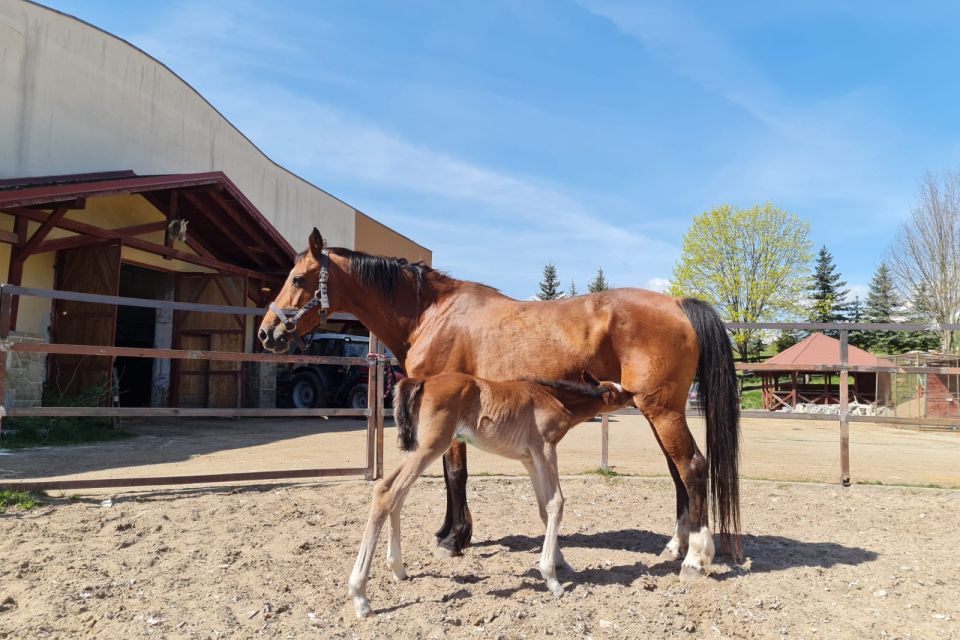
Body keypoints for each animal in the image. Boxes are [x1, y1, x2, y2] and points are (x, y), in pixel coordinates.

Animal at [348, 372, 632, 616]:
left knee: (395, 493)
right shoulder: (546, 448)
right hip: (432, 445)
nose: (632, 393)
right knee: (388, 492)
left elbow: (543, 507)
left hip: (420, 447)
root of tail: (423, 381)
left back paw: (397, 568)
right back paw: (360, 596)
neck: (555, 397)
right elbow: (556, 503)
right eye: (616, 391)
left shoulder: (529, 459)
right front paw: (552, 579)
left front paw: (561, 561)